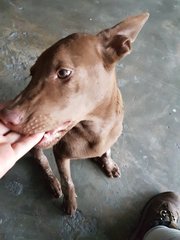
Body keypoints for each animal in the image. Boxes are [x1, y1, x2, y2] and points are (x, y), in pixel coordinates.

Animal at [0, 12, 149, 215]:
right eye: (32, 72)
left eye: (63, 72)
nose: (5, 116)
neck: (94, 128)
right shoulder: (60, 153)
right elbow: (67, 180)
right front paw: (69, 201)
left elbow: (107, 150)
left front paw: (107, 162)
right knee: (39, 158)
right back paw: (52, 182)